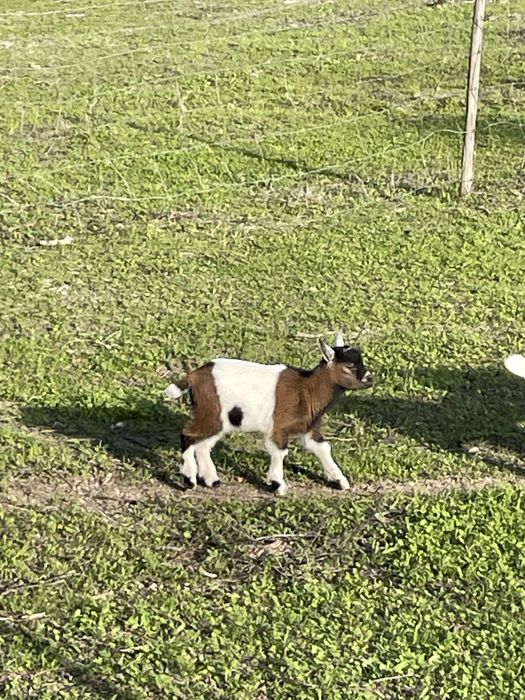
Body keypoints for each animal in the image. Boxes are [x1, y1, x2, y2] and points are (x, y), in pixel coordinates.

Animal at [163, 332, 373, 495]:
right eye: (349, 366)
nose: (370, 378)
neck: (306, 389)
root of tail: (194, 376)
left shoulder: (308, 429)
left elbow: (323, 448)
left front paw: (340, 481)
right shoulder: (280, 427)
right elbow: (280, 452)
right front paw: (278, 485)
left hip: (218, 418)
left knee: (203, 444)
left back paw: (211, 480)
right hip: (211, 412)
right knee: (188, 434)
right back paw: (189, 480)